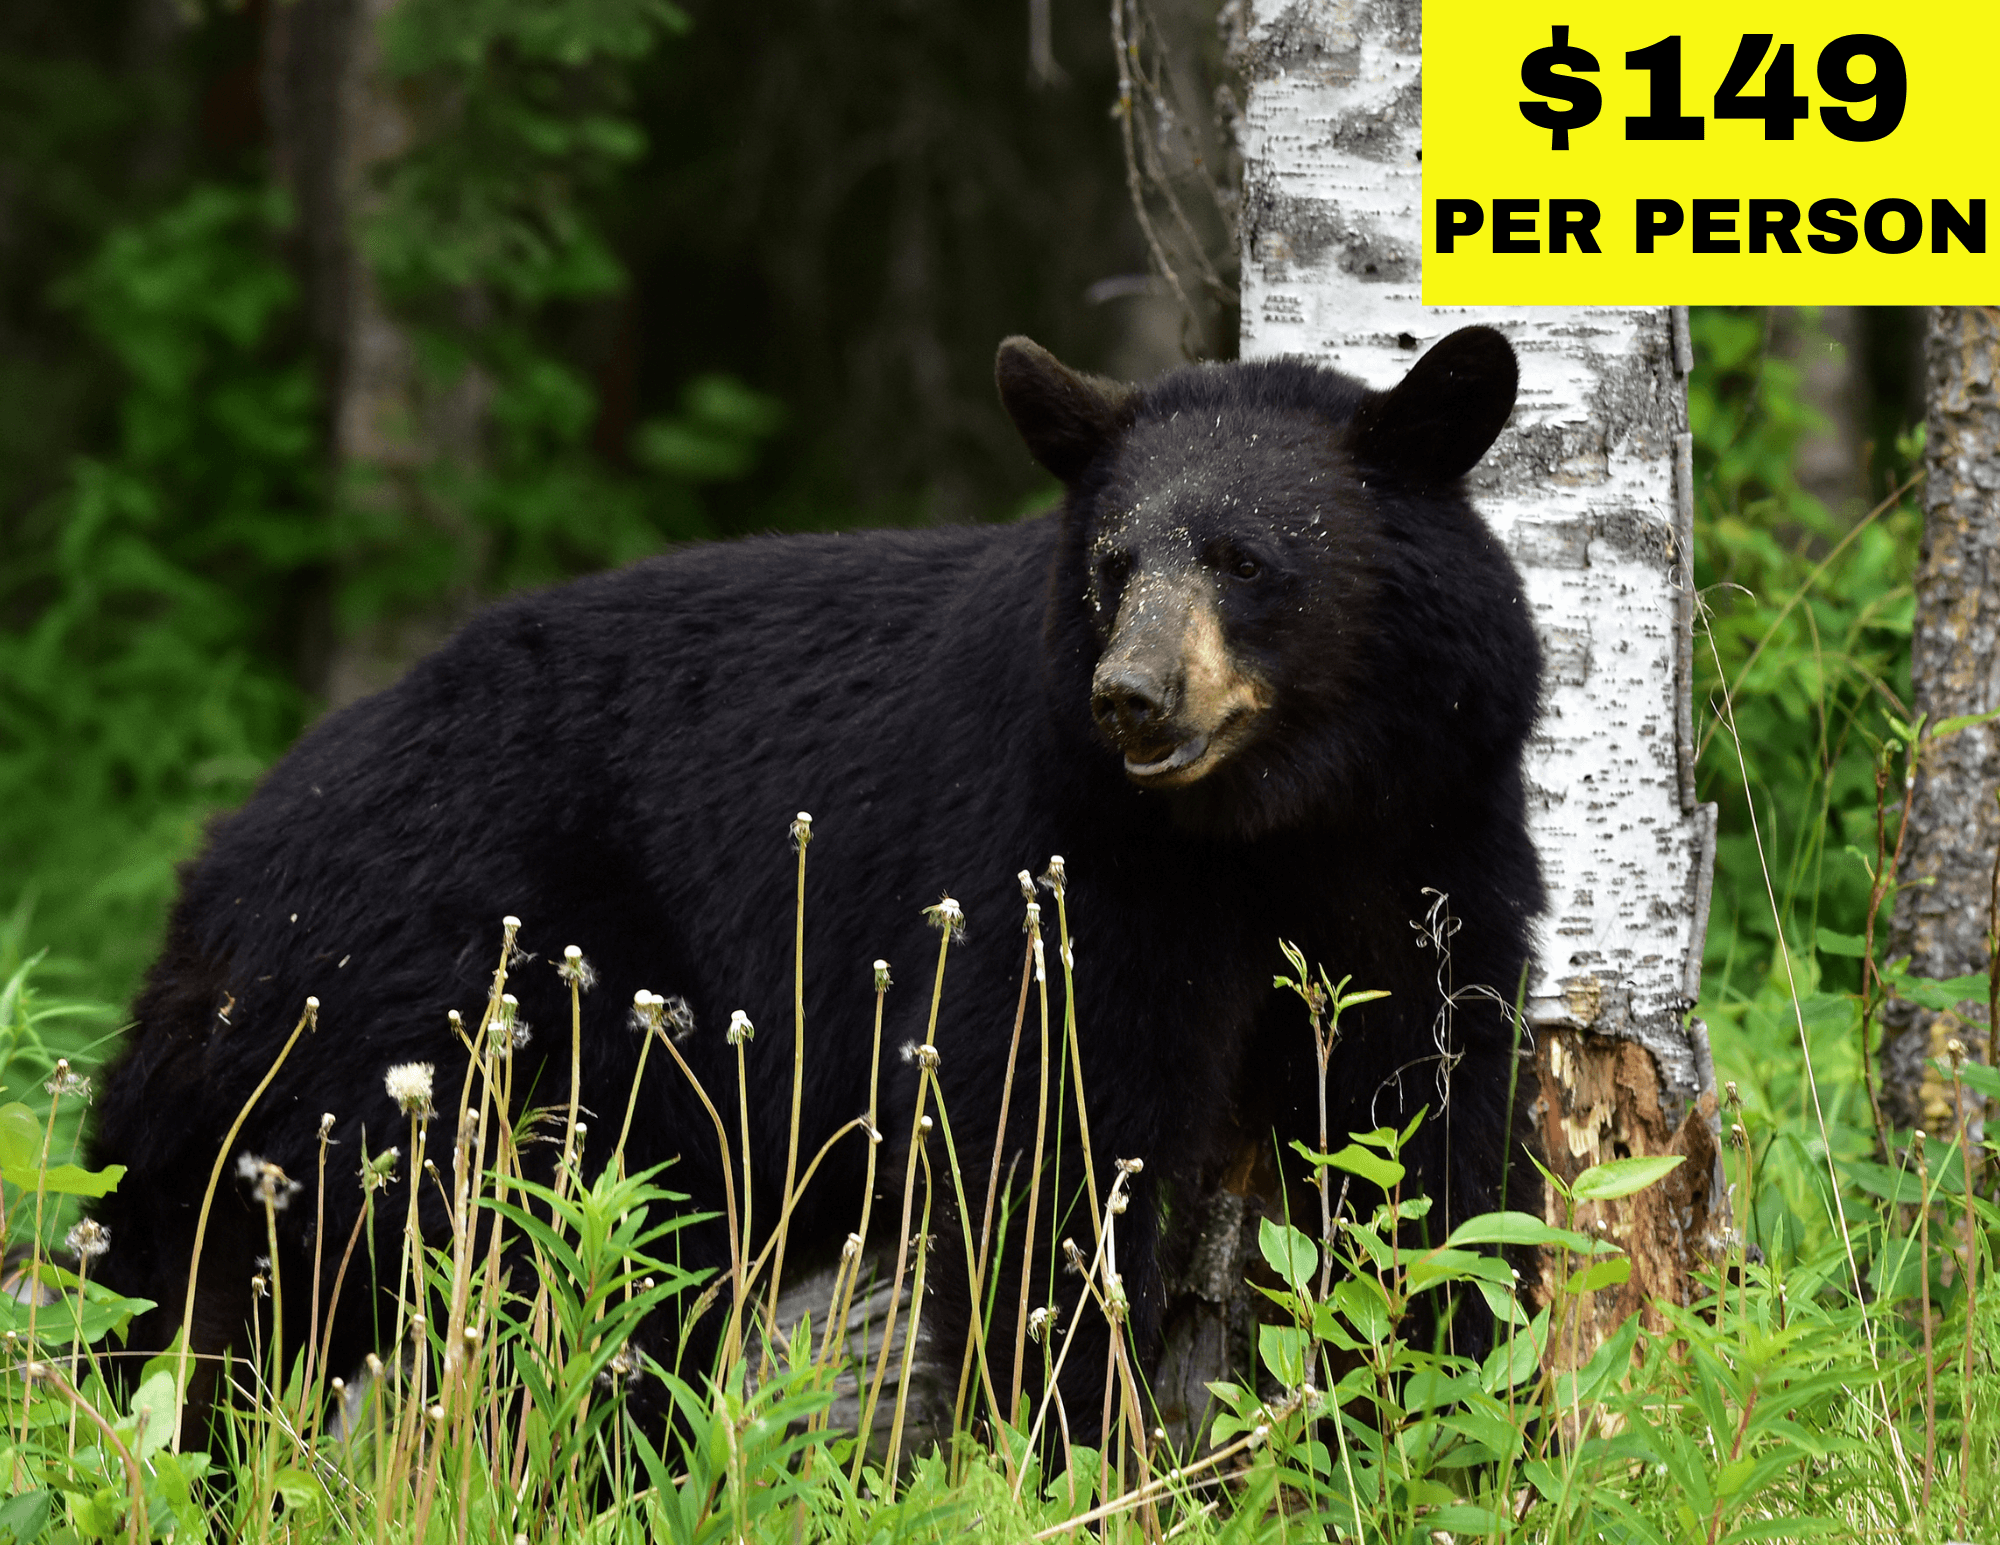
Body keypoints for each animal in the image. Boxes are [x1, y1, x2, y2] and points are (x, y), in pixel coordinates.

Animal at [85, 324, 1544, 1452]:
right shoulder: (1061, 862)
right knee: (391, 1297)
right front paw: (1064, 1448)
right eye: (1115, 565)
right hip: (458, 1036)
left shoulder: (1428, 846)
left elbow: (1434, 1130)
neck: (1266, 824)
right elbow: (1057, 1149)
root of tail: (212, 886)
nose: (1131, 697)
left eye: (1243, 560)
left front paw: (1452, 1398)